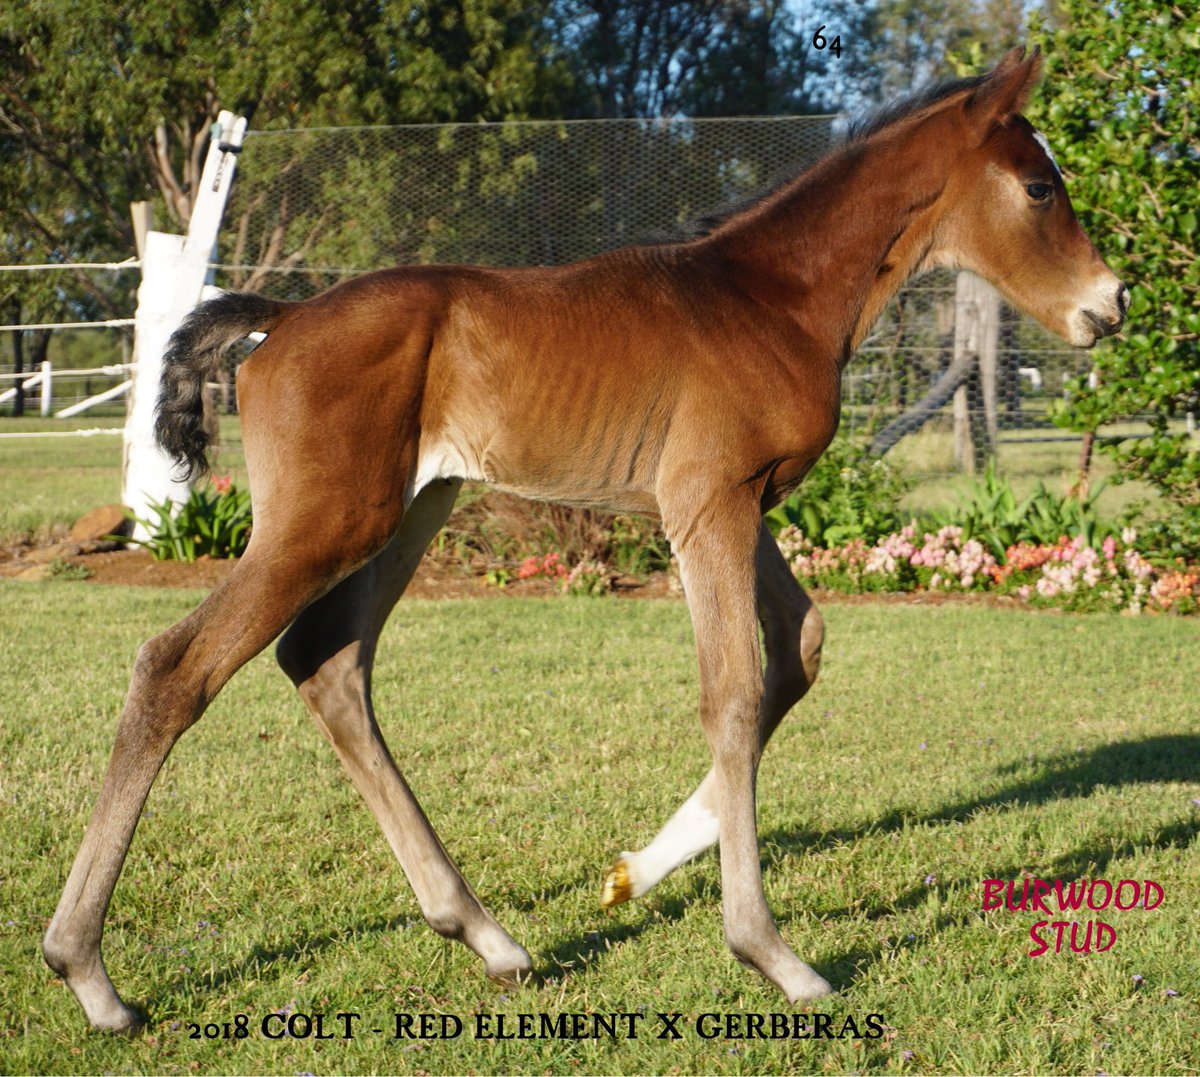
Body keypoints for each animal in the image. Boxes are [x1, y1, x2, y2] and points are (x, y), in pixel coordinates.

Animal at [45, 46, 1127, 1031]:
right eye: (1040, 185)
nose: (1110, 304)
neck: (772, 296)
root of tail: (287, 313)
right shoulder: (707, 504)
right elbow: (734, 692)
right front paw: (770, 951)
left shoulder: (738, 504)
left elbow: (797, 651)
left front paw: (635, 873)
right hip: (327, 522)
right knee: (176, 667)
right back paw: (89, 974)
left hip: (413, 510)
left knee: (328, 663)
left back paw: (487, 936)